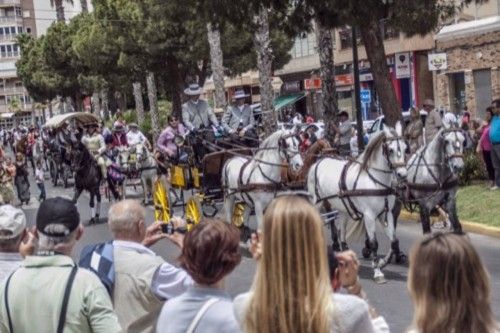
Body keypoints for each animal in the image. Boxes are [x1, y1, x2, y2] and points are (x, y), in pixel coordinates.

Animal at [306, 122, 408, 282]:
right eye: (390, 150)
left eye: (405, 148)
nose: (402, 174)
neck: (375, 181)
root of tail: (319, 161)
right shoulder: (369, 215)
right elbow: (373, 243)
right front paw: (378, 272)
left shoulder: (386, 214)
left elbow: (394, 241)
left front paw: (382, 262)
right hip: (317, 203)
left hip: (342, 207)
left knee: (341, 230)